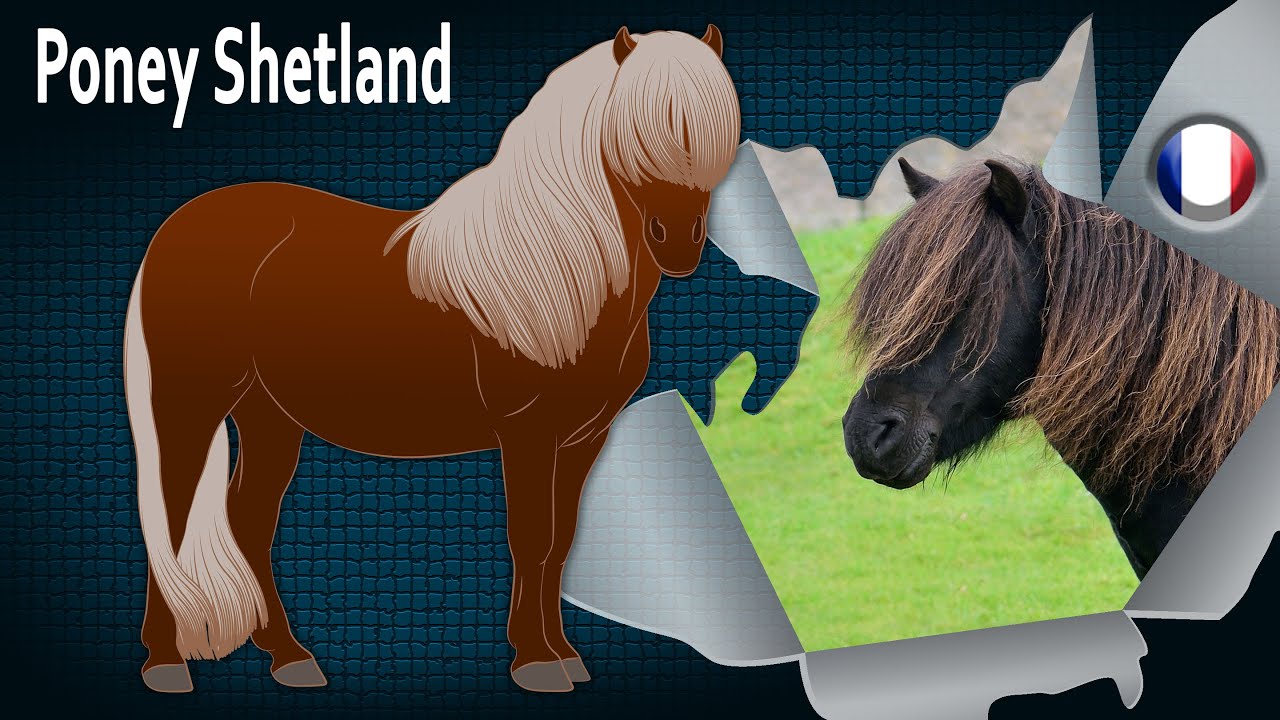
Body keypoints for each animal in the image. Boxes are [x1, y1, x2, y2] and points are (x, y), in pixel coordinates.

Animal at [124, 26, 740, 694]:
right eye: (628, 136)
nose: (677, 242)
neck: (554, 266)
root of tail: (176, 229)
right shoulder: (528, 433)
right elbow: (531, 537)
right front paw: (536, 661)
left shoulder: (584, 439)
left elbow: (561, 544)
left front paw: (563, 652)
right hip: (190, 406)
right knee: (172, 515)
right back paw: (165, 662)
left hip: (270, 417)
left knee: (247, 521)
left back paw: (288, 656)